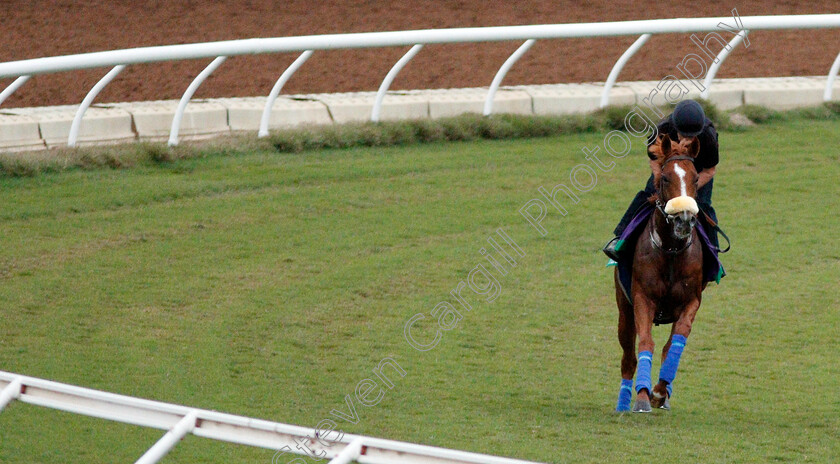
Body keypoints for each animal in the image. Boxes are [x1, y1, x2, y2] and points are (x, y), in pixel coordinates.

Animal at [612, 135, 704, 414]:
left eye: (696, 177)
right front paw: (642, 397)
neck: (671, 251)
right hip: (624, 310)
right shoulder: (643, 298)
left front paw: (660, 392)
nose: (684, 218)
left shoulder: (691, 301)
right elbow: (646, 343)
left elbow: (674, 343)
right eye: (664, 178)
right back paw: (623, 402)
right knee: (628, 358)